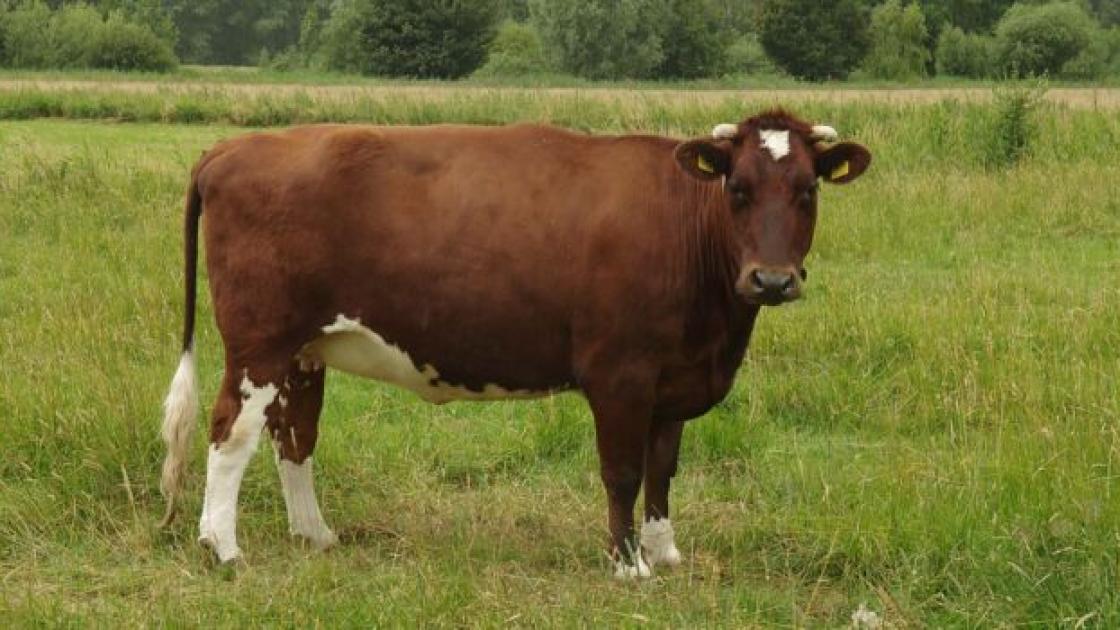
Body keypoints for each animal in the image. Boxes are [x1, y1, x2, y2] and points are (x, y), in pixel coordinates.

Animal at [158, 109, 871, 577]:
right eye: (738, 189)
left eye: (807, 191)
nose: (771, 279)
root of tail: (234, 147)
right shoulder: (620, 374)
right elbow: (623, 471)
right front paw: (627, 564)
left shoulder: (673, 376)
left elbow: (663, 466)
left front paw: (664, 550)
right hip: (259, 341)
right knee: (231, 431)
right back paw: (222, 546)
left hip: (305, 349)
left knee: (295, 436)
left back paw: (316, 534)